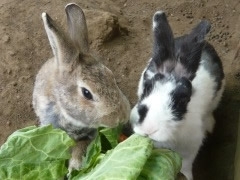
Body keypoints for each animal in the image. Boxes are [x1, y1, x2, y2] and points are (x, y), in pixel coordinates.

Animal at [32, 3, 130, 171]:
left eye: (111, 76)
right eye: (86, 93)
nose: (121, 117)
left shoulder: (91, 134)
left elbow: (82, 146)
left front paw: (75, 166)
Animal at [130, 10, 224, 179]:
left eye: (182, 100)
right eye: (147, 88)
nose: (149, 129)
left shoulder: (191, 147)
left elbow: (186, 165)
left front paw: (187, 176)